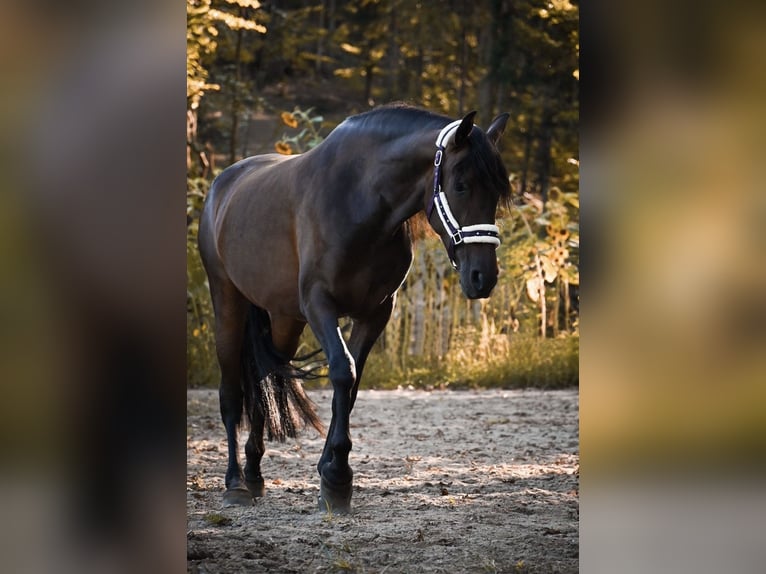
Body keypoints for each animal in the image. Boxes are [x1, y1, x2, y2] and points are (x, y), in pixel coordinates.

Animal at [198, 103, 511, 512]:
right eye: (461, 185)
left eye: (497, 193)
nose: (483, 277)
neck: (360, 203)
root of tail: (221, 187)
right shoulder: (319, 305)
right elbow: (342, 372)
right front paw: (336, 477)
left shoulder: (375, 312)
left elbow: (352, 385)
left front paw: (330, 472)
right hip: (228, 303)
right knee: (232, 394)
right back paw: (235, 483)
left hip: (284, 319)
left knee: (266, 380)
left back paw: (253, 474)